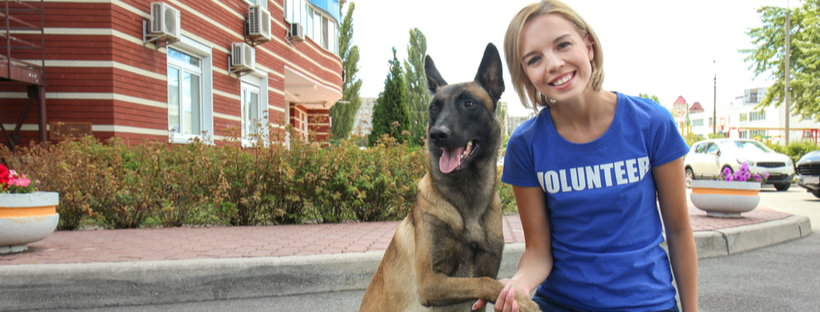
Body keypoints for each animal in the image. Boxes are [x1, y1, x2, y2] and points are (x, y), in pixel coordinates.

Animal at [358, 42, 540, 310]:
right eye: (434, 108)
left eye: (469, 104)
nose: (437, 134)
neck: (467, 197)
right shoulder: (430, 282)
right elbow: (486, 282)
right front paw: (523, 300)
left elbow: (486, 281)